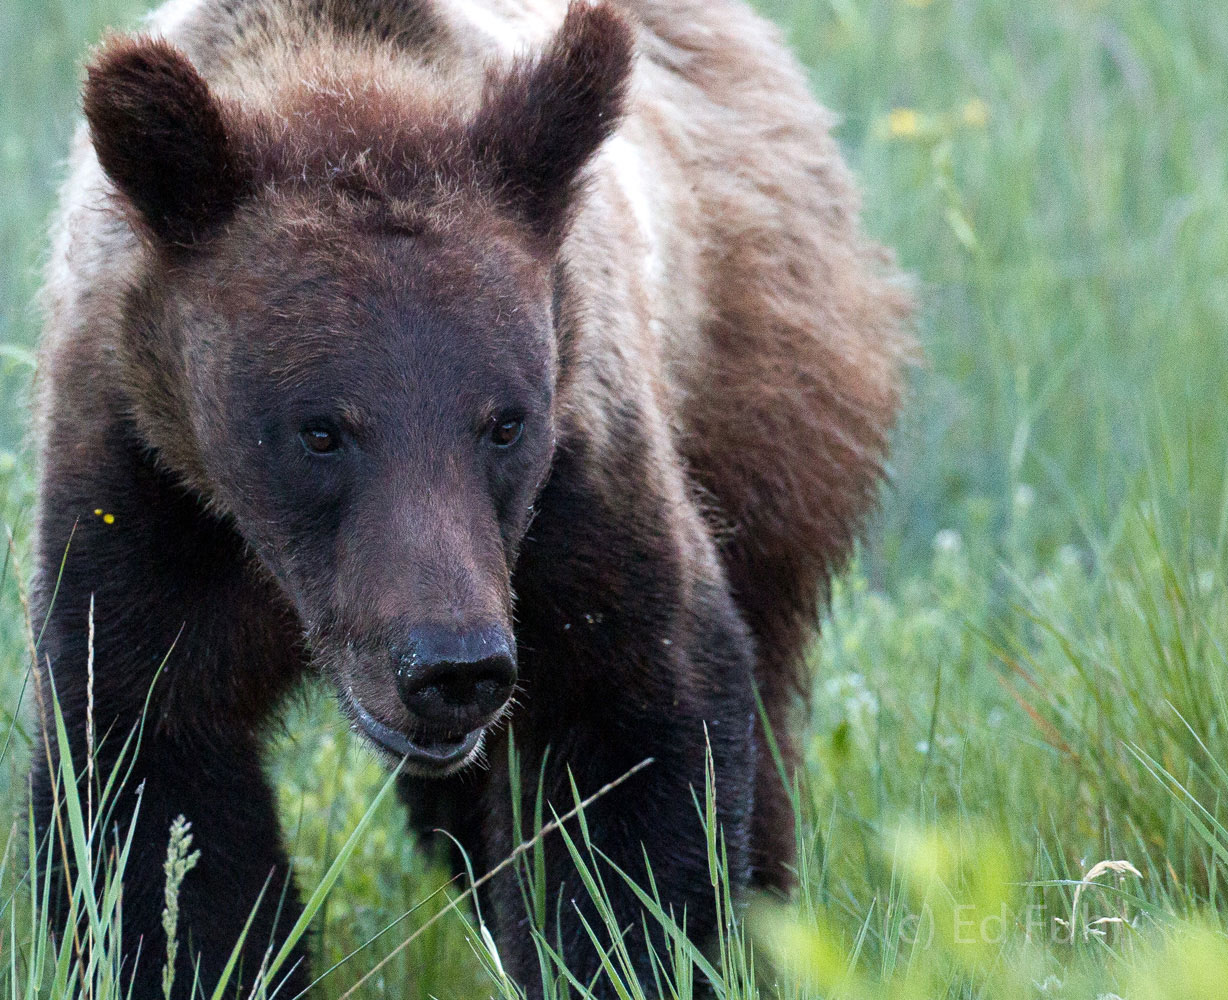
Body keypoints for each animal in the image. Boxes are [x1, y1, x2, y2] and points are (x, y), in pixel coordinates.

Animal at [31, 0, 913, 997]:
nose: (453, 666)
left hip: (763, 396)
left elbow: (630, 741)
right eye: (320, 430)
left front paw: (635, 948)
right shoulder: (144, 493)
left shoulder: (577, 485)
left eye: (503, 423)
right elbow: (150, 788)